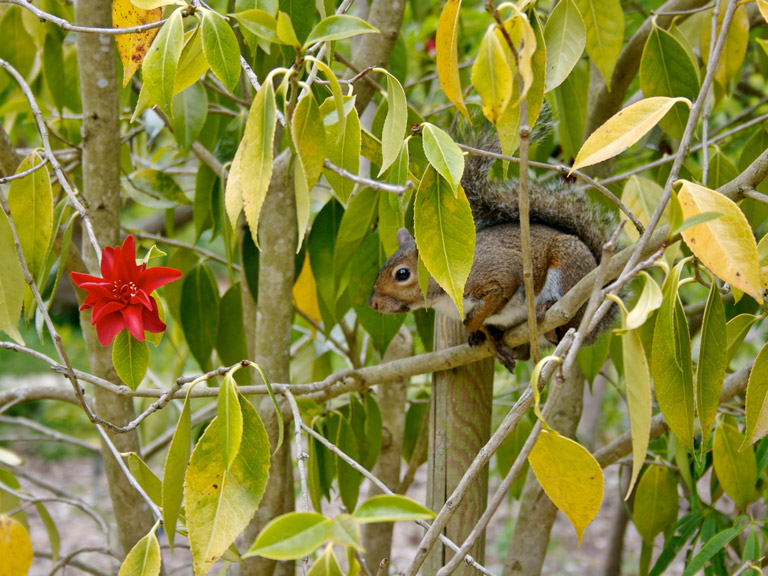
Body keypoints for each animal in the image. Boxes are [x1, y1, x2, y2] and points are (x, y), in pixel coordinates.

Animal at [368, 130, 616, 372]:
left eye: (402, 274)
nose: (373, 304)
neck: (445, 298)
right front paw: (488, 337)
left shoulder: (494, 276)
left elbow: (493, 297)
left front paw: (475, 326)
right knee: (528, 353)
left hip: (569, 268)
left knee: (569, 324)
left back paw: (547, 311)